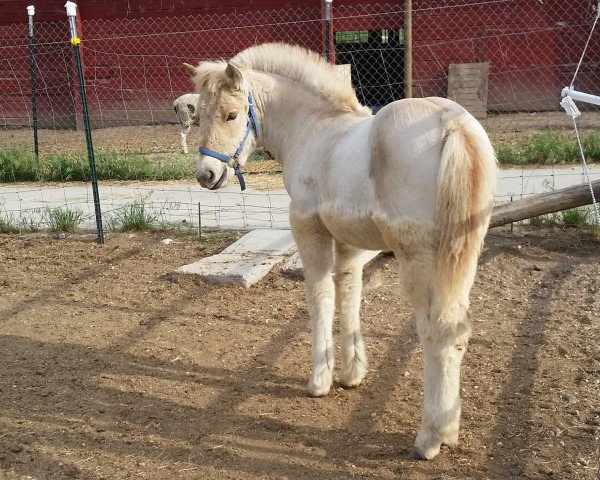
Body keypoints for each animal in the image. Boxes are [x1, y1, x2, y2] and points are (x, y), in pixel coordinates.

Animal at [184, 43, 496, 460]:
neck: (311, 126)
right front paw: (352, 373)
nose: (206, 175)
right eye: (198, 114)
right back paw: (449, 427)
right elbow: (349, 293)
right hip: (462, 255)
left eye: (232, 114)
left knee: (438, 329)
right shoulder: (348, 241)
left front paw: (319, 380)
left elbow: (320, 297)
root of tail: (453, 124)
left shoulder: (308, 226)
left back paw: (431, 437)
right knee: (458, 327)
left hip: (418, 255)